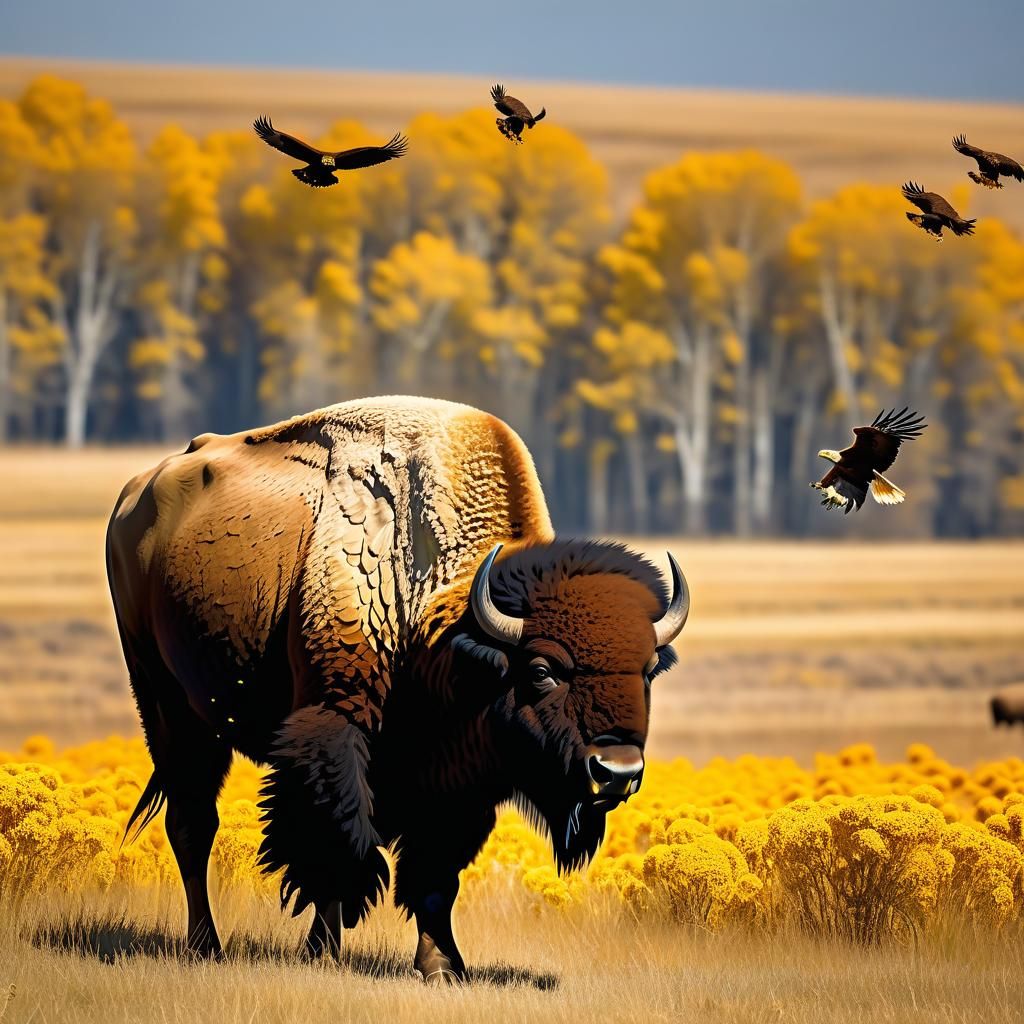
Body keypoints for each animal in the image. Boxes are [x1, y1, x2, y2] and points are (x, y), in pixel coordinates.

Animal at [106, 396, 689, 982]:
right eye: (543, 669)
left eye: (648, 669)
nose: (617, 771)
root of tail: (135, 494)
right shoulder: (335, 729)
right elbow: (337, 850)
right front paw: (324, 951)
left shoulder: (457, 781)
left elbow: (433, 879)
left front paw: (443, 967)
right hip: (169, 706)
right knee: (192, 824)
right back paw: (206, 945)